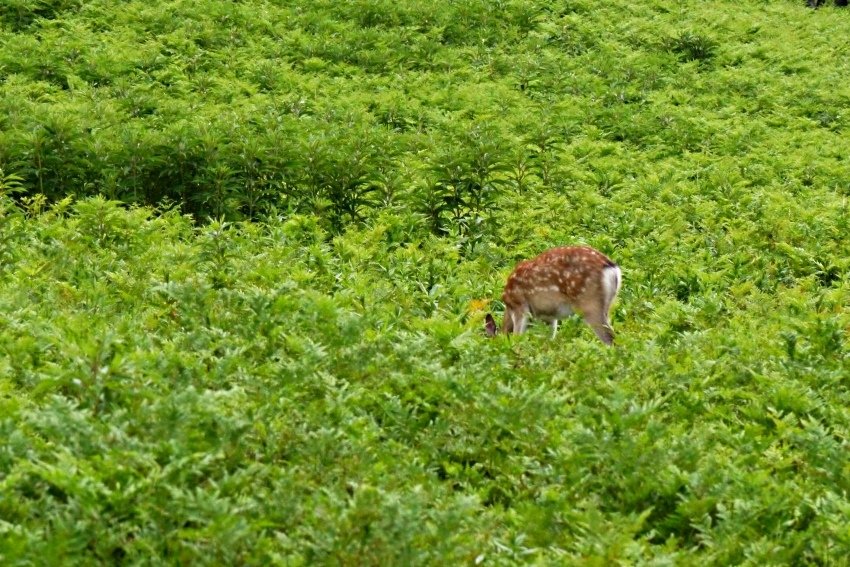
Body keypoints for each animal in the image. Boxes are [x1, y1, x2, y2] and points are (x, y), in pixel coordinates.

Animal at [486, 246, 620, 344]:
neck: (508, 307)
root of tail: (612, 268)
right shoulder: (549, 316)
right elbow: (549, 338)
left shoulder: (519, 306)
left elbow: (517, 337)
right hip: (608, 304)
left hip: (589, 303)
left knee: (610, 338)